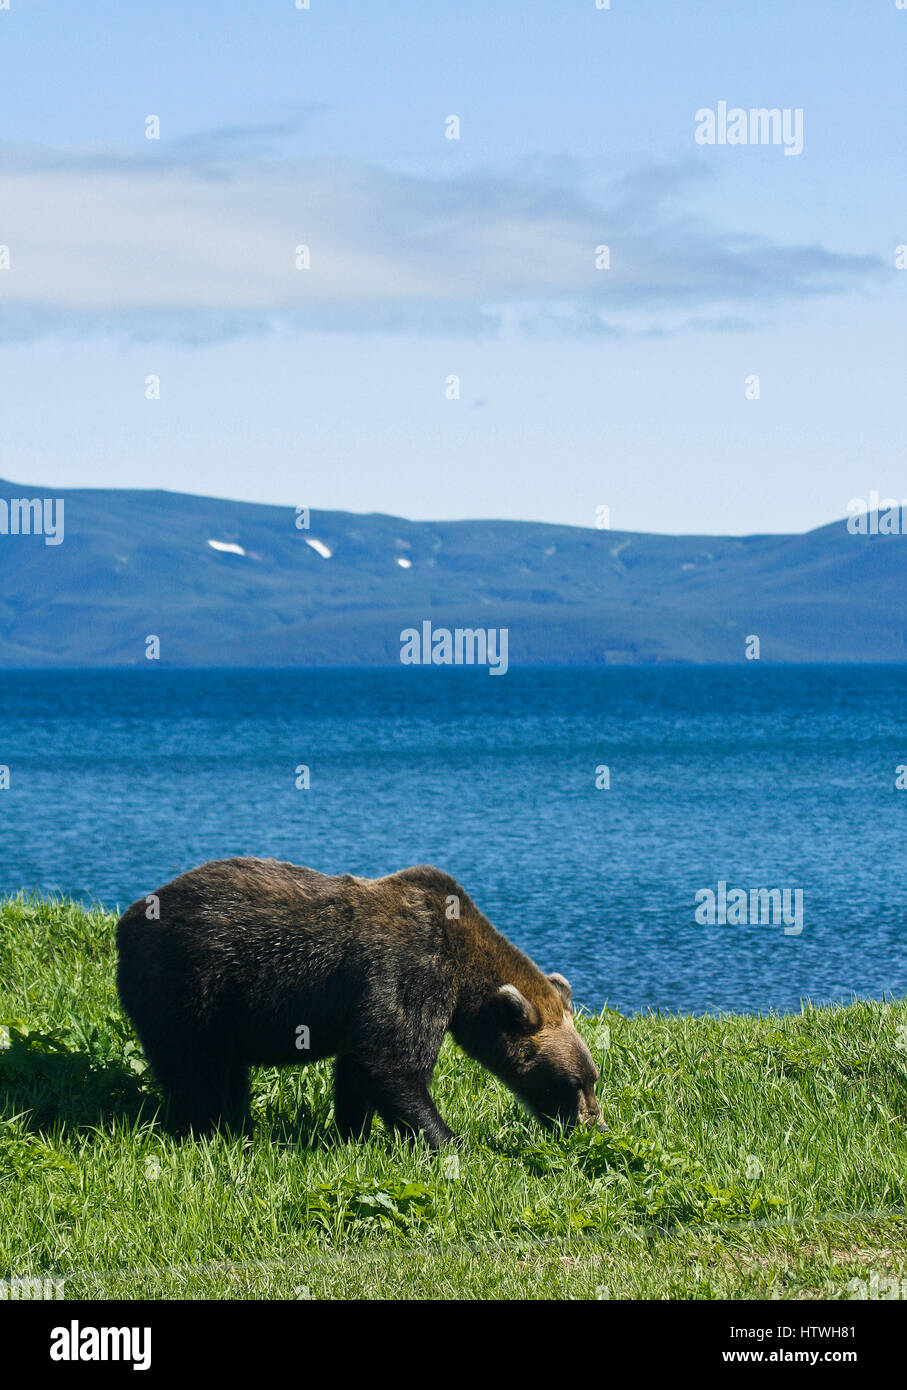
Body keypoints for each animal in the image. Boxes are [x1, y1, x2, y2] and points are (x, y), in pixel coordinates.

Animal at [116, 861, 605, 1145]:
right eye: (568, 1083)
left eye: (593, 1077)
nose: (593, 1126)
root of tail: (130, 917)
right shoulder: (411, 970)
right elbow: (392, 1062)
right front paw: (451, 1142)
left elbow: (358, 1068)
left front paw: (352, 1133)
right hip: (188, 983)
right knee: (194, 1069)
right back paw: (205, 1132)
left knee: (226, 1070)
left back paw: (238, 1124)